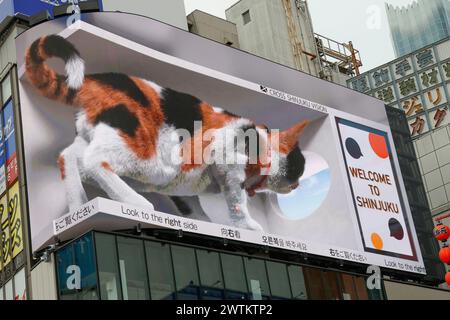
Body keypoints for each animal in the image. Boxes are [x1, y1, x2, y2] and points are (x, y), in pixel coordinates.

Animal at [24, 34, 310, 230]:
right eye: (299, 165)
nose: (298, 185)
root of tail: (99, 79)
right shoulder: (228, 160)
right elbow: (236, 200)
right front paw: (248, 226)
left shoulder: (186, 182)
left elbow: (192, 205)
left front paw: (204, 223)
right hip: (145, 155)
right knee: (93, 160)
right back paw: (138, 204)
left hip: (99, 137)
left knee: (68, 157)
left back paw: (78, 206)